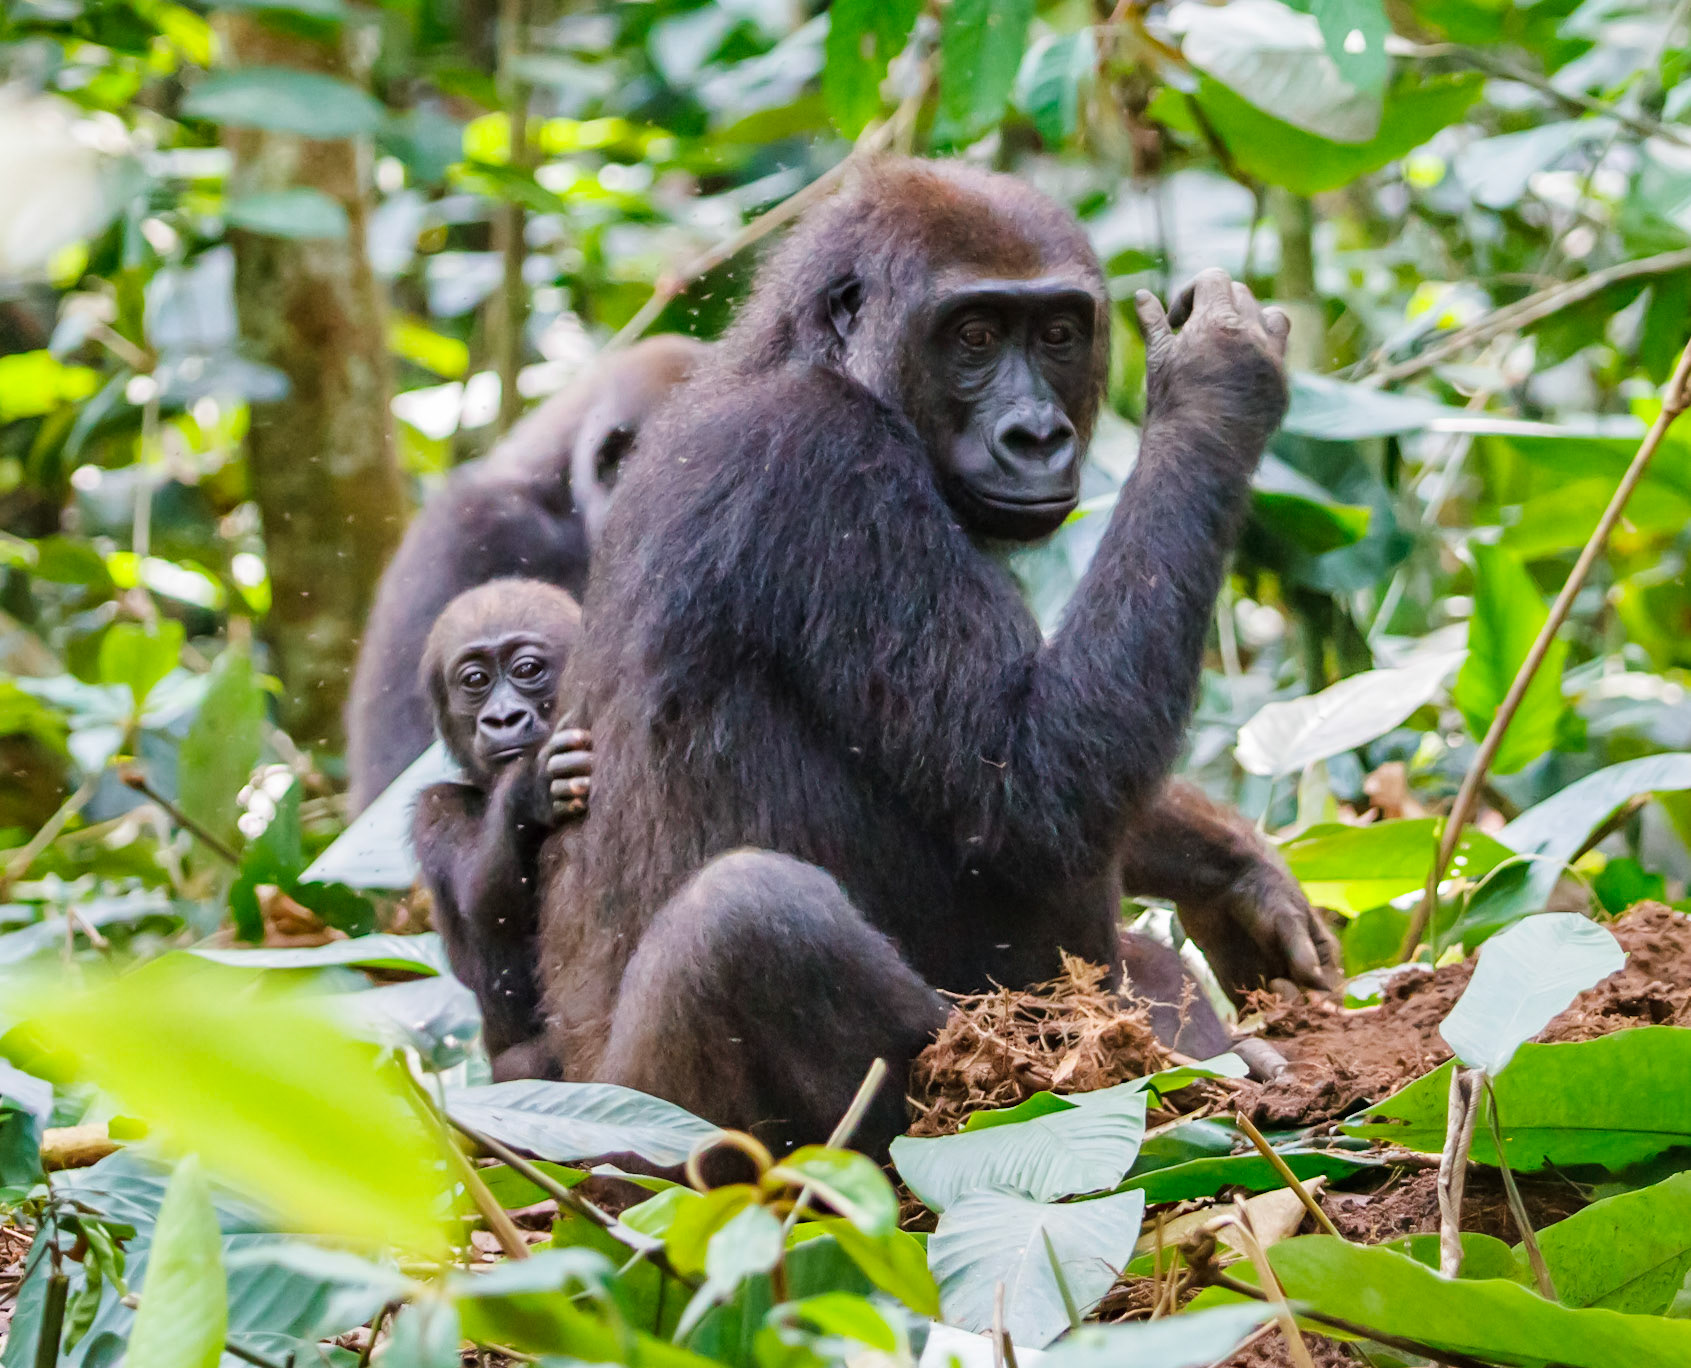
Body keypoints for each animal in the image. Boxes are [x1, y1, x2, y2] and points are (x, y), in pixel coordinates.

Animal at [524, 158, 1336, 1153]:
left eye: (1058, 333)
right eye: (974, 336)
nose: (1037, 436)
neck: (821, 364)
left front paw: (1229, 866)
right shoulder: (829, 467)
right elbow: (1033, 791)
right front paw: (1215, 382)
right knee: (750, 920)